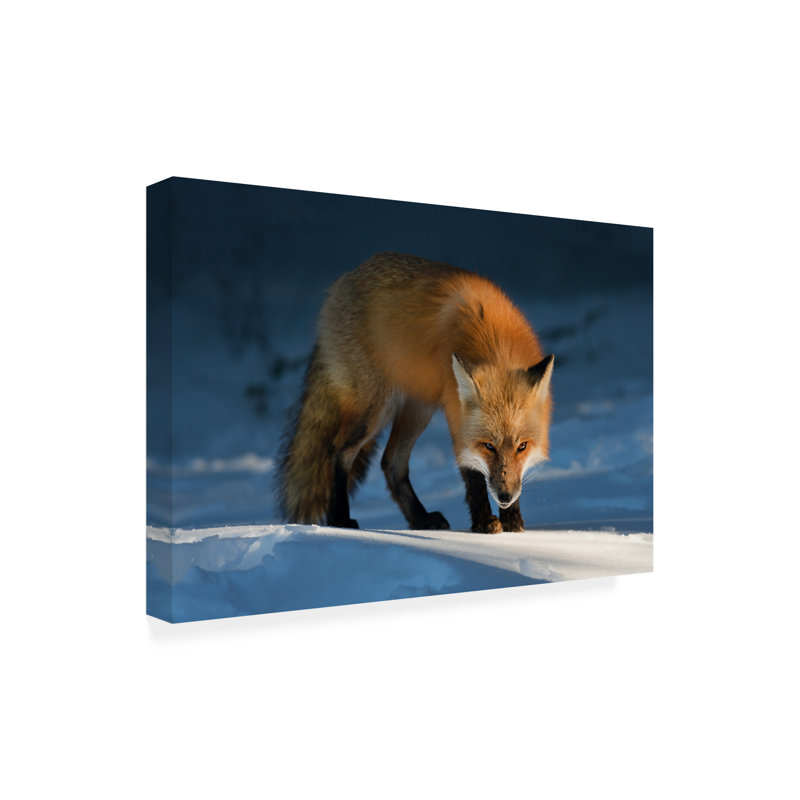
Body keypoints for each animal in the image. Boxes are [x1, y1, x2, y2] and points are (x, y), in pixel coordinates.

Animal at [276, 251, 554, 534]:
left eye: (522, 447)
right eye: (488, 446)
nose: (505, 497)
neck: (495, 344)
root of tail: (342, 281)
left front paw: (511, 520)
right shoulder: (456, 415)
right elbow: (472, 474)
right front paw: (484, 523)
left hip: (418, 410)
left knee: (391, 463)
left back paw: (420, 519)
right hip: (376, 410)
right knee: (339, 452)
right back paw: (339, 520)